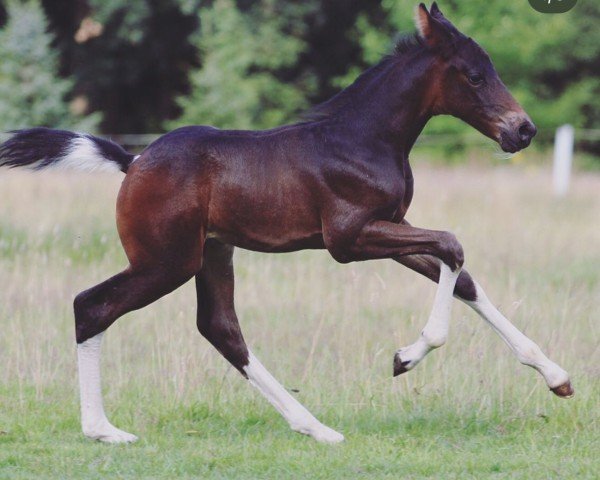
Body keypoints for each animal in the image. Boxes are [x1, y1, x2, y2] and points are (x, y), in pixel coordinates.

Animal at [0, 3, 572, 444]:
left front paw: (556, 376)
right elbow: (453, 246)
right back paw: (103, 429)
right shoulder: (348, 238)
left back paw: (314, 427)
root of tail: (134, 160)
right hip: (166, 261)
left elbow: (463, 275)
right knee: (92, 306)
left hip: (211, 253)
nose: (523, 130)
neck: (363, 138)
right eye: (474, 75)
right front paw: (405, 358)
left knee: (221, 328)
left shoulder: (390, 226)